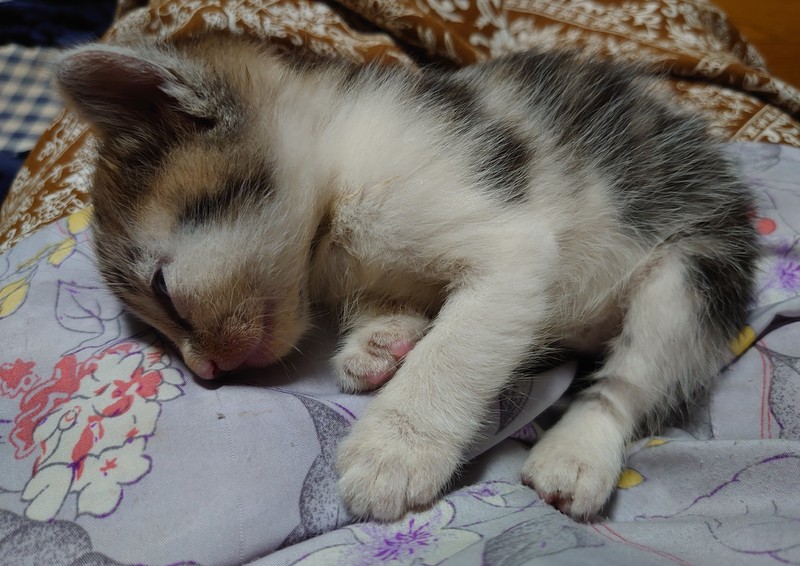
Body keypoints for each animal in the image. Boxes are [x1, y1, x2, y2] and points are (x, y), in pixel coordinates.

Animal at [55, 33, 758, 521]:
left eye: (164, 292)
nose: (204, 371)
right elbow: (395, 298)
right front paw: (380, 341)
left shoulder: (511, 245)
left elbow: (456, 349)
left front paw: (395, 449)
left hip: (693, 268)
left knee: (630, 379)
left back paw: (577, 450)